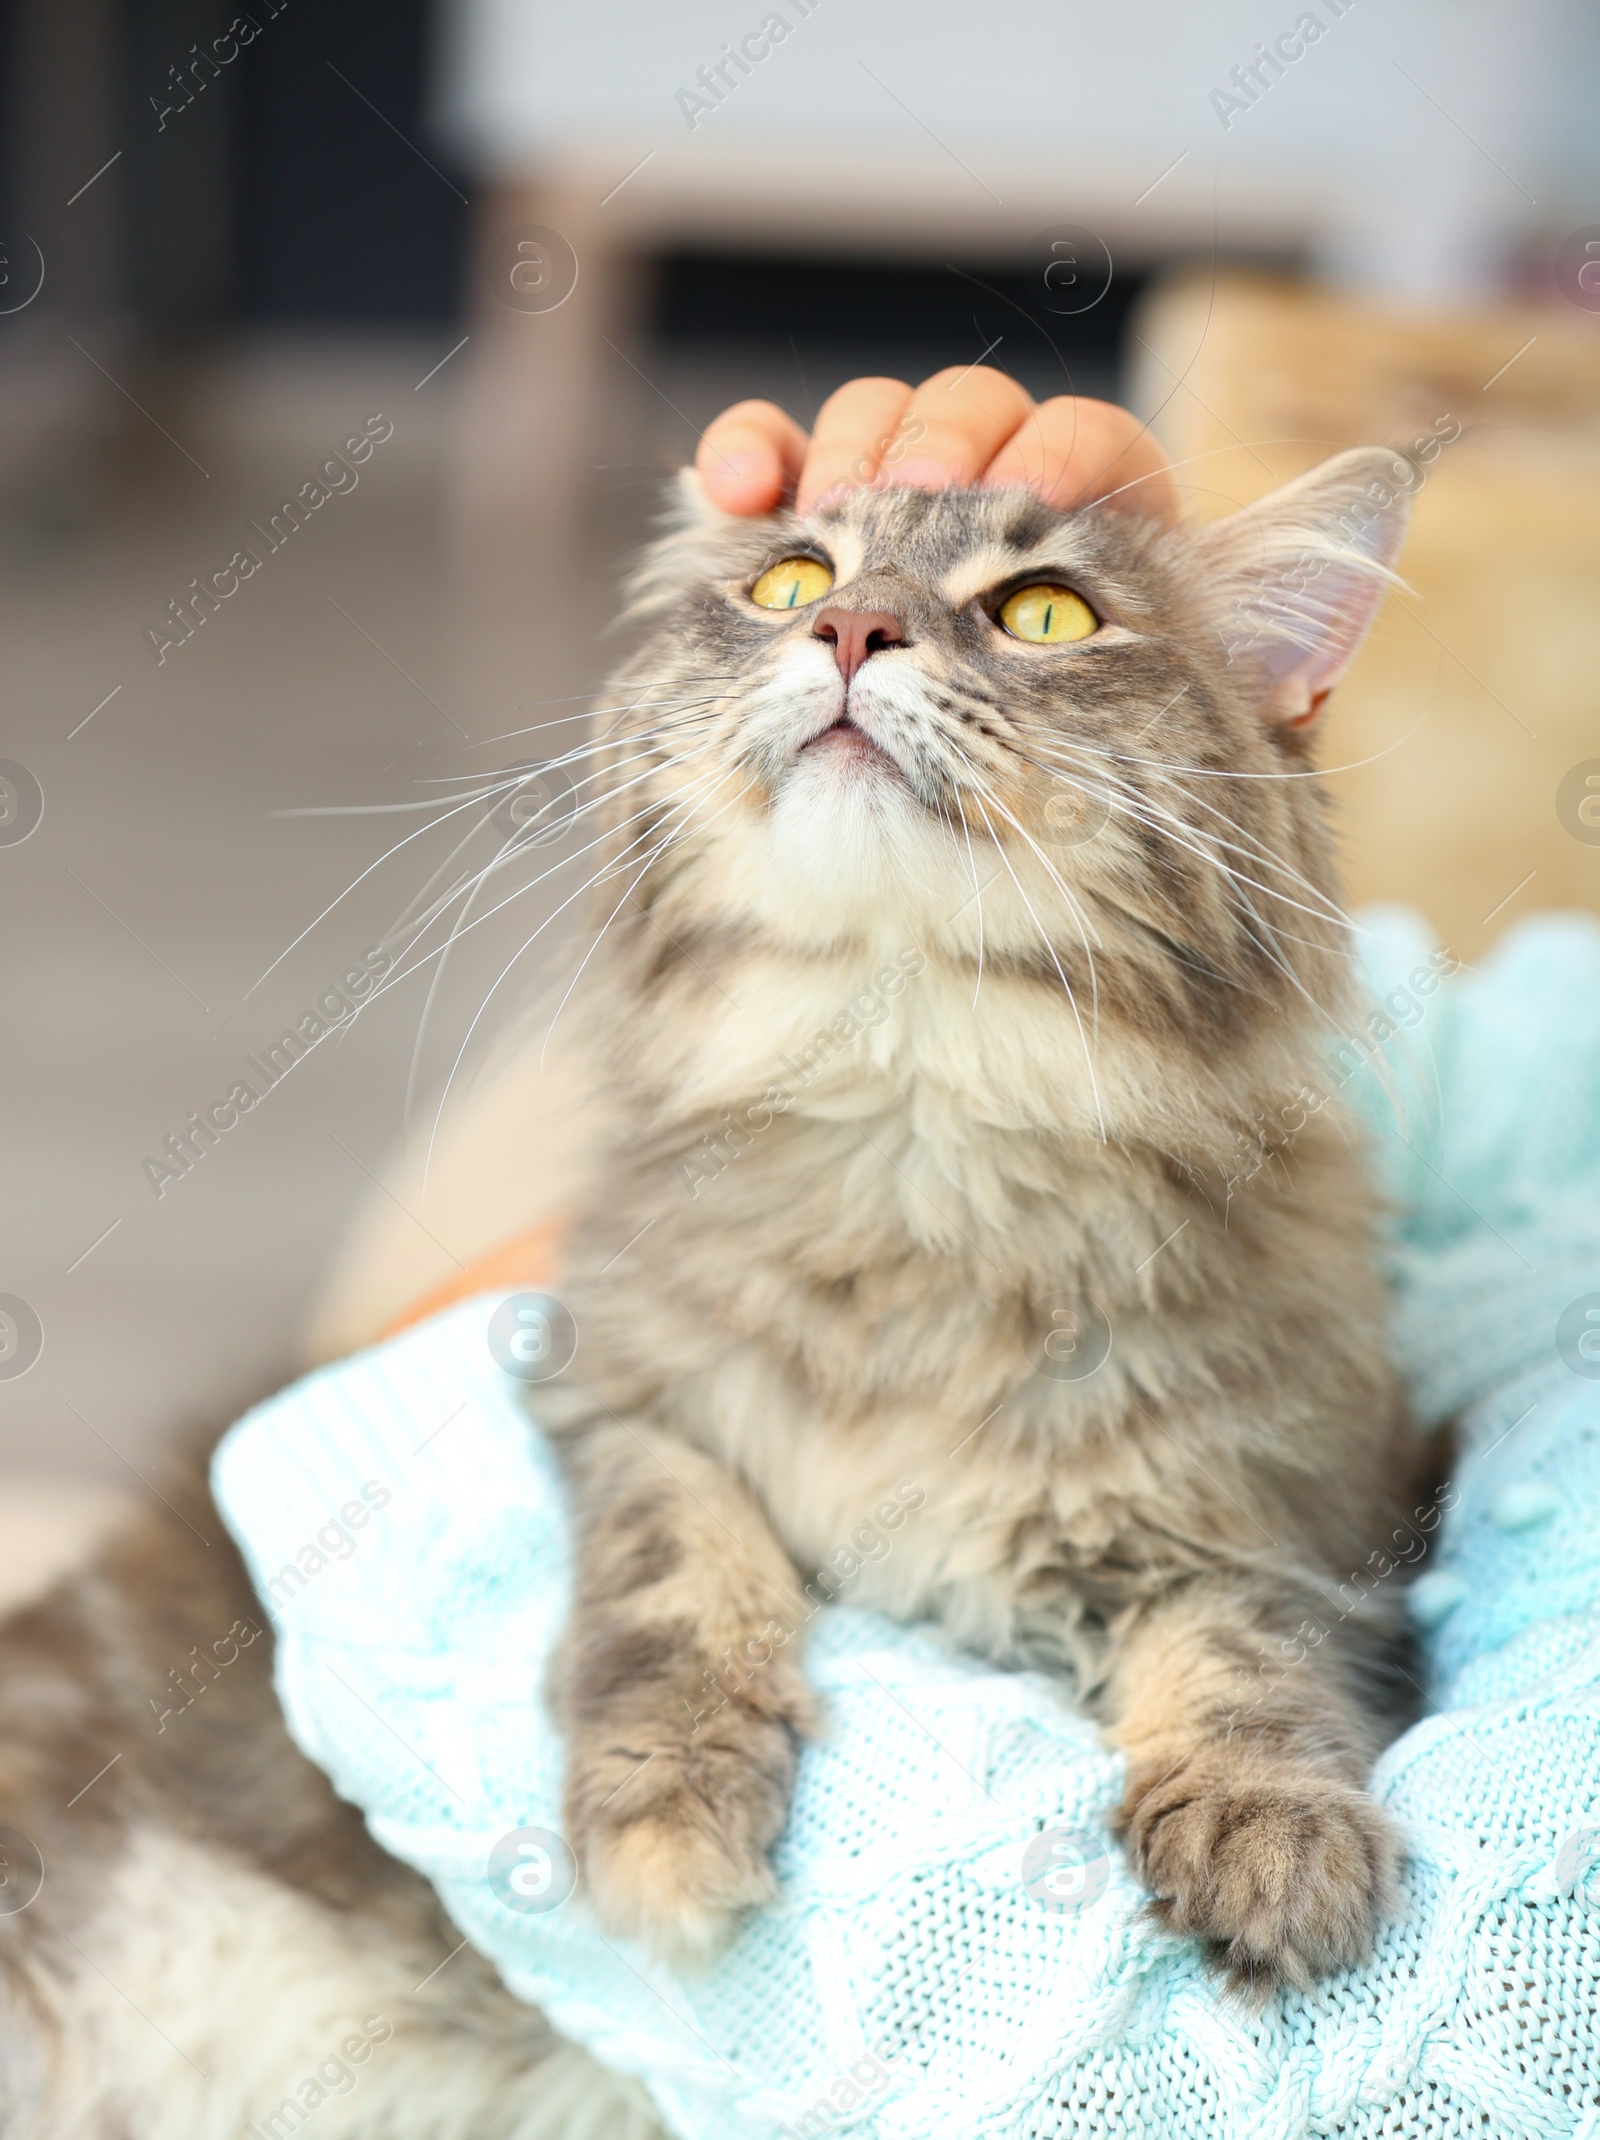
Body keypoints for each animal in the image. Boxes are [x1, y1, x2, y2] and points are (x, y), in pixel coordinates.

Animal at [0, 451, 1428, 2140]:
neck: (915, 1118)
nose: (856, 631)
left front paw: (1278, 1846)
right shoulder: (616, 1395)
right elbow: (684, 1575)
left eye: (1046, 613)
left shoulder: (1298, 1508)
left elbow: (1246, 1655)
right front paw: (666, 1824)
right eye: (792, 582)